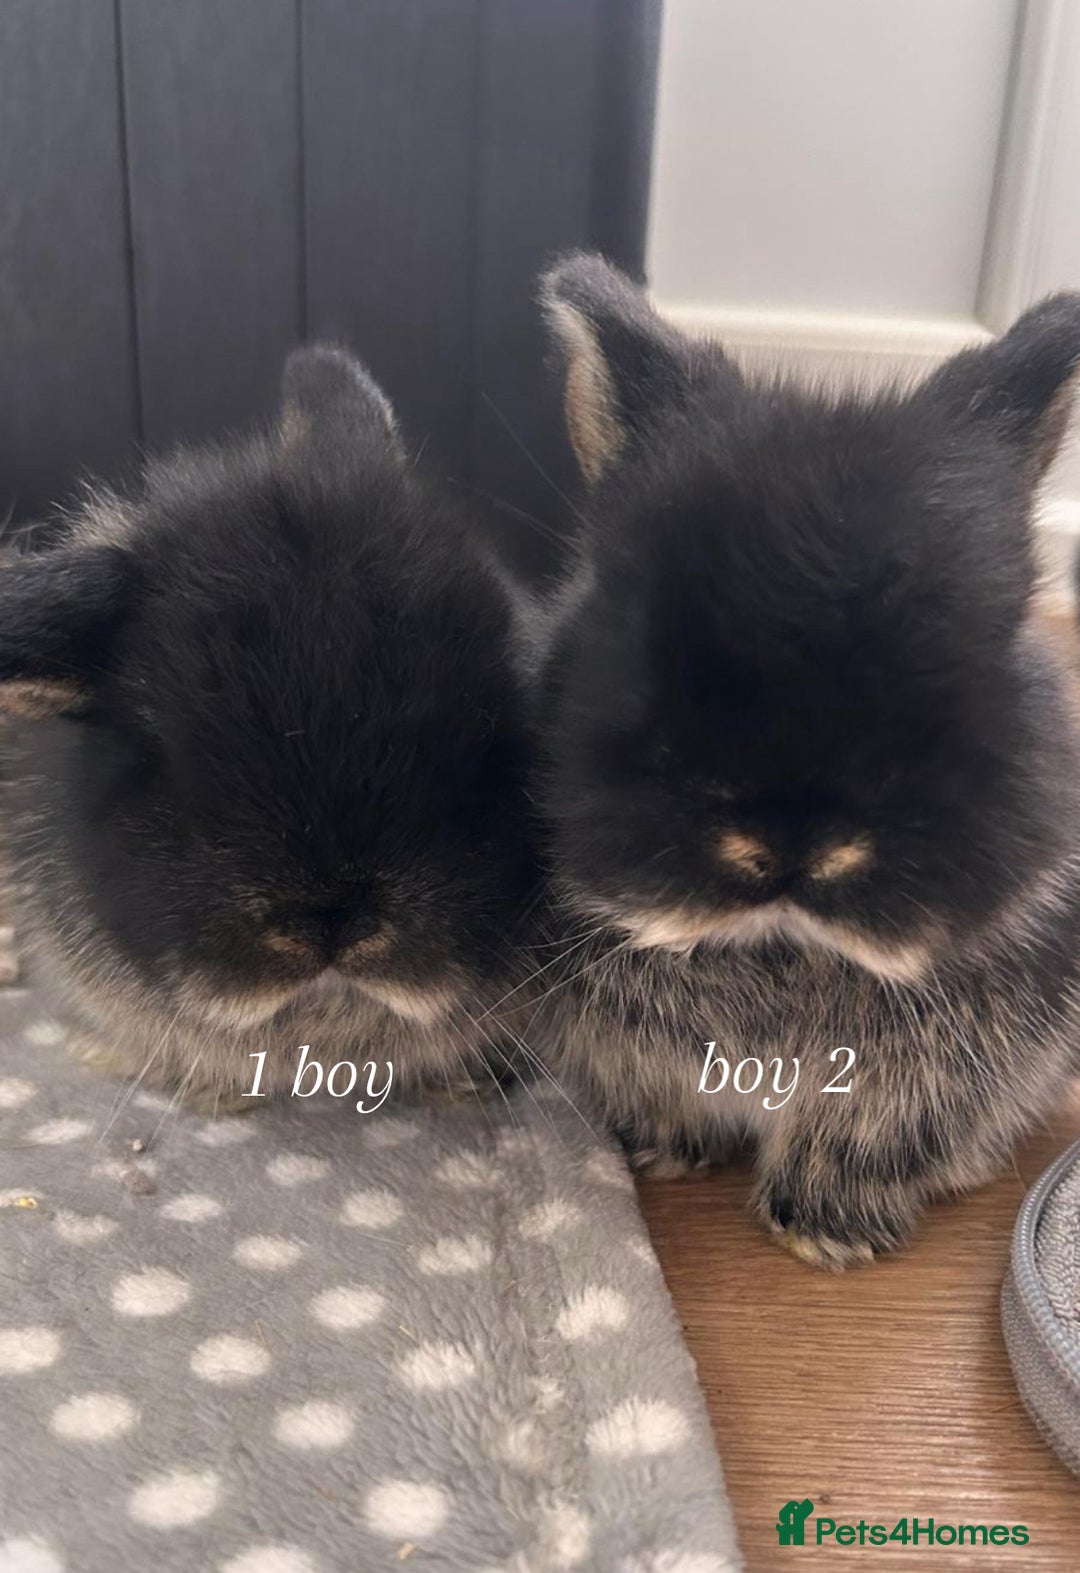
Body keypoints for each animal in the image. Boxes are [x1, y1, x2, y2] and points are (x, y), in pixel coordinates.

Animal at [520, 251, 1080, 1268]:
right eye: (632, 632)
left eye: (985, 647)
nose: (789, 848)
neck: (779, 945)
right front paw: (670, 1152)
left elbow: (872, 1135)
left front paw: (825, 1233)